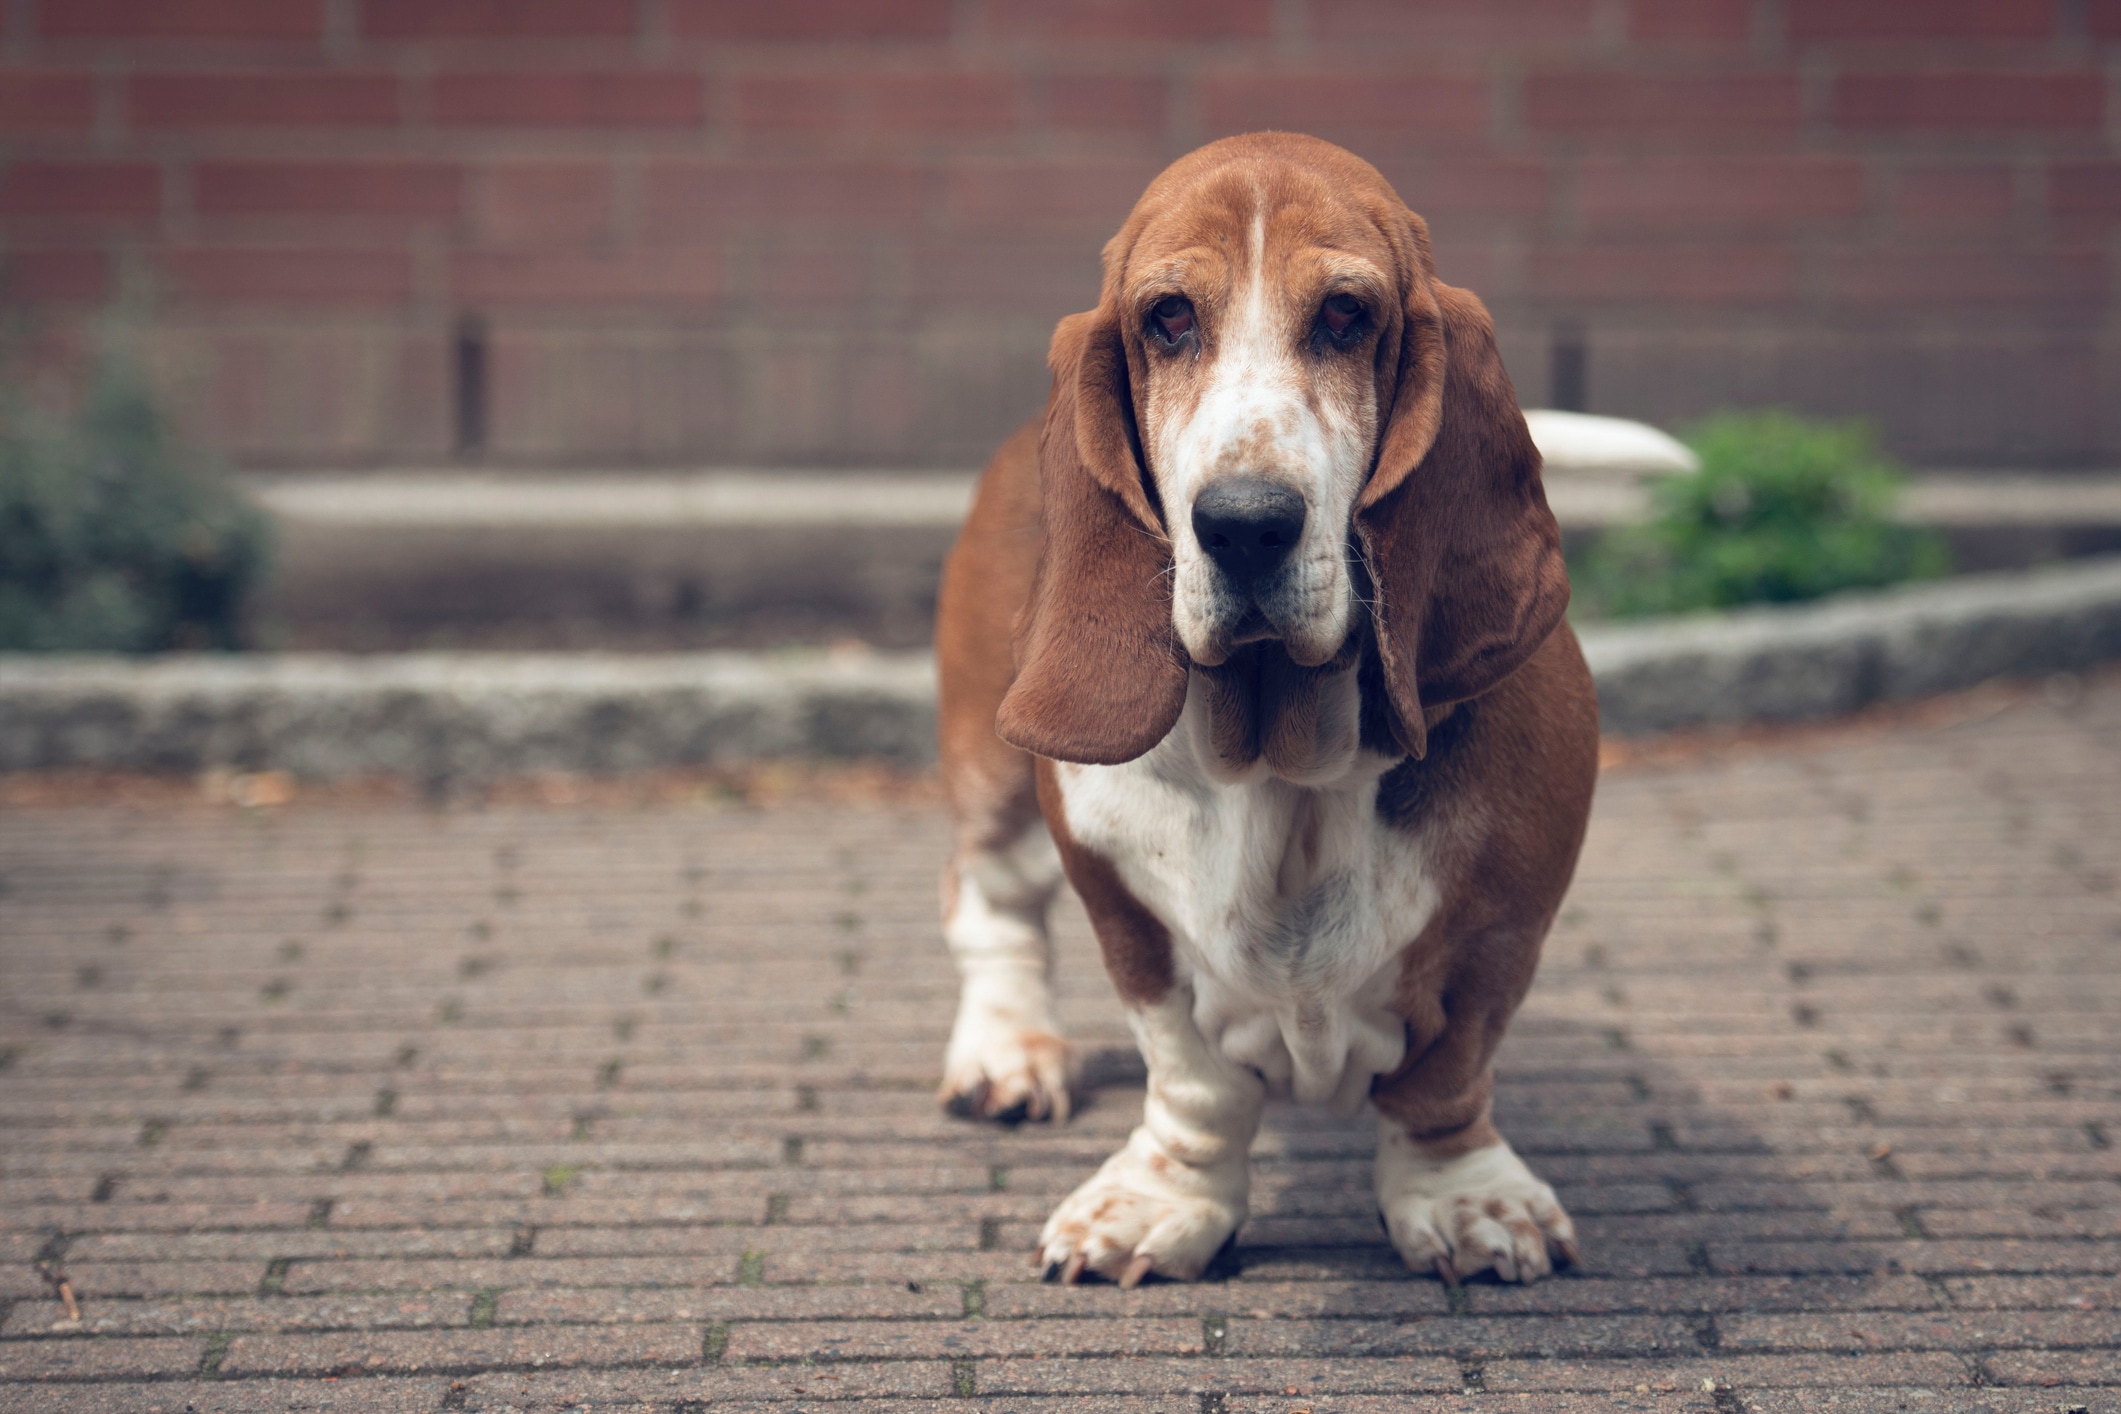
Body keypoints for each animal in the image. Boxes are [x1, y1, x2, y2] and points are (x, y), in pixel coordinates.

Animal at [928, 135, 1594, 1297]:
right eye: (1167, 318)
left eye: (1344, 315)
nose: (1244, 525)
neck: (1286, 760)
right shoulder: (1124, 908)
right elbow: (1191, 1077)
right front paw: (1162, 1202)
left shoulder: (1504, 919)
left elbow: (1447, 1078)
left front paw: (1468, 1200)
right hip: (997, 775)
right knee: (990, 900)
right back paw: (1007, 1053)